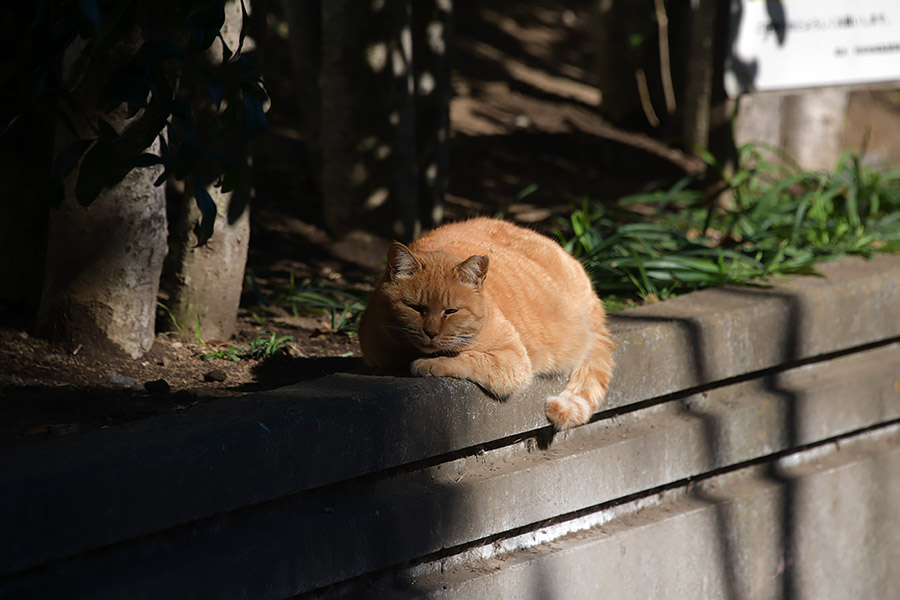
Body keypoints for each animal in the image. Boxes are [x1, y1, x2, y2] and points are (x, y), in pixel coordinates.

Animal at [356, 218, 612, 428]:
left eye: (451, 311)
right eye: (415, 308)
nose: (430, 332)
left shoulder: (513, 358)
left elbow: (470, 358)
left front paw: (433, 364)